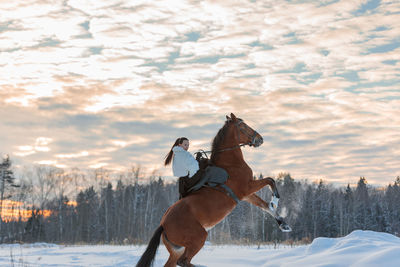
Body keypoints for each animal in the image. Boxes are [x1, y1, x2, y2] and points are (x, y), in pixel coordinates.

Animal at [137, 113, 290, 267]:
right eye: (243, 126)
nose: (260, 139)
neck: (230, 163)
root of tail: (163, 224)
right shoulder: (247, 187)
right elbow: (270, 181)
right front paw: (275, 200)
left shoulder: (246, 195)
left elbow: (265, 206)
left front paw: (283, 225)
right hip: (198, 238)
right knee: (184, 261)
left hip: (177, 250)